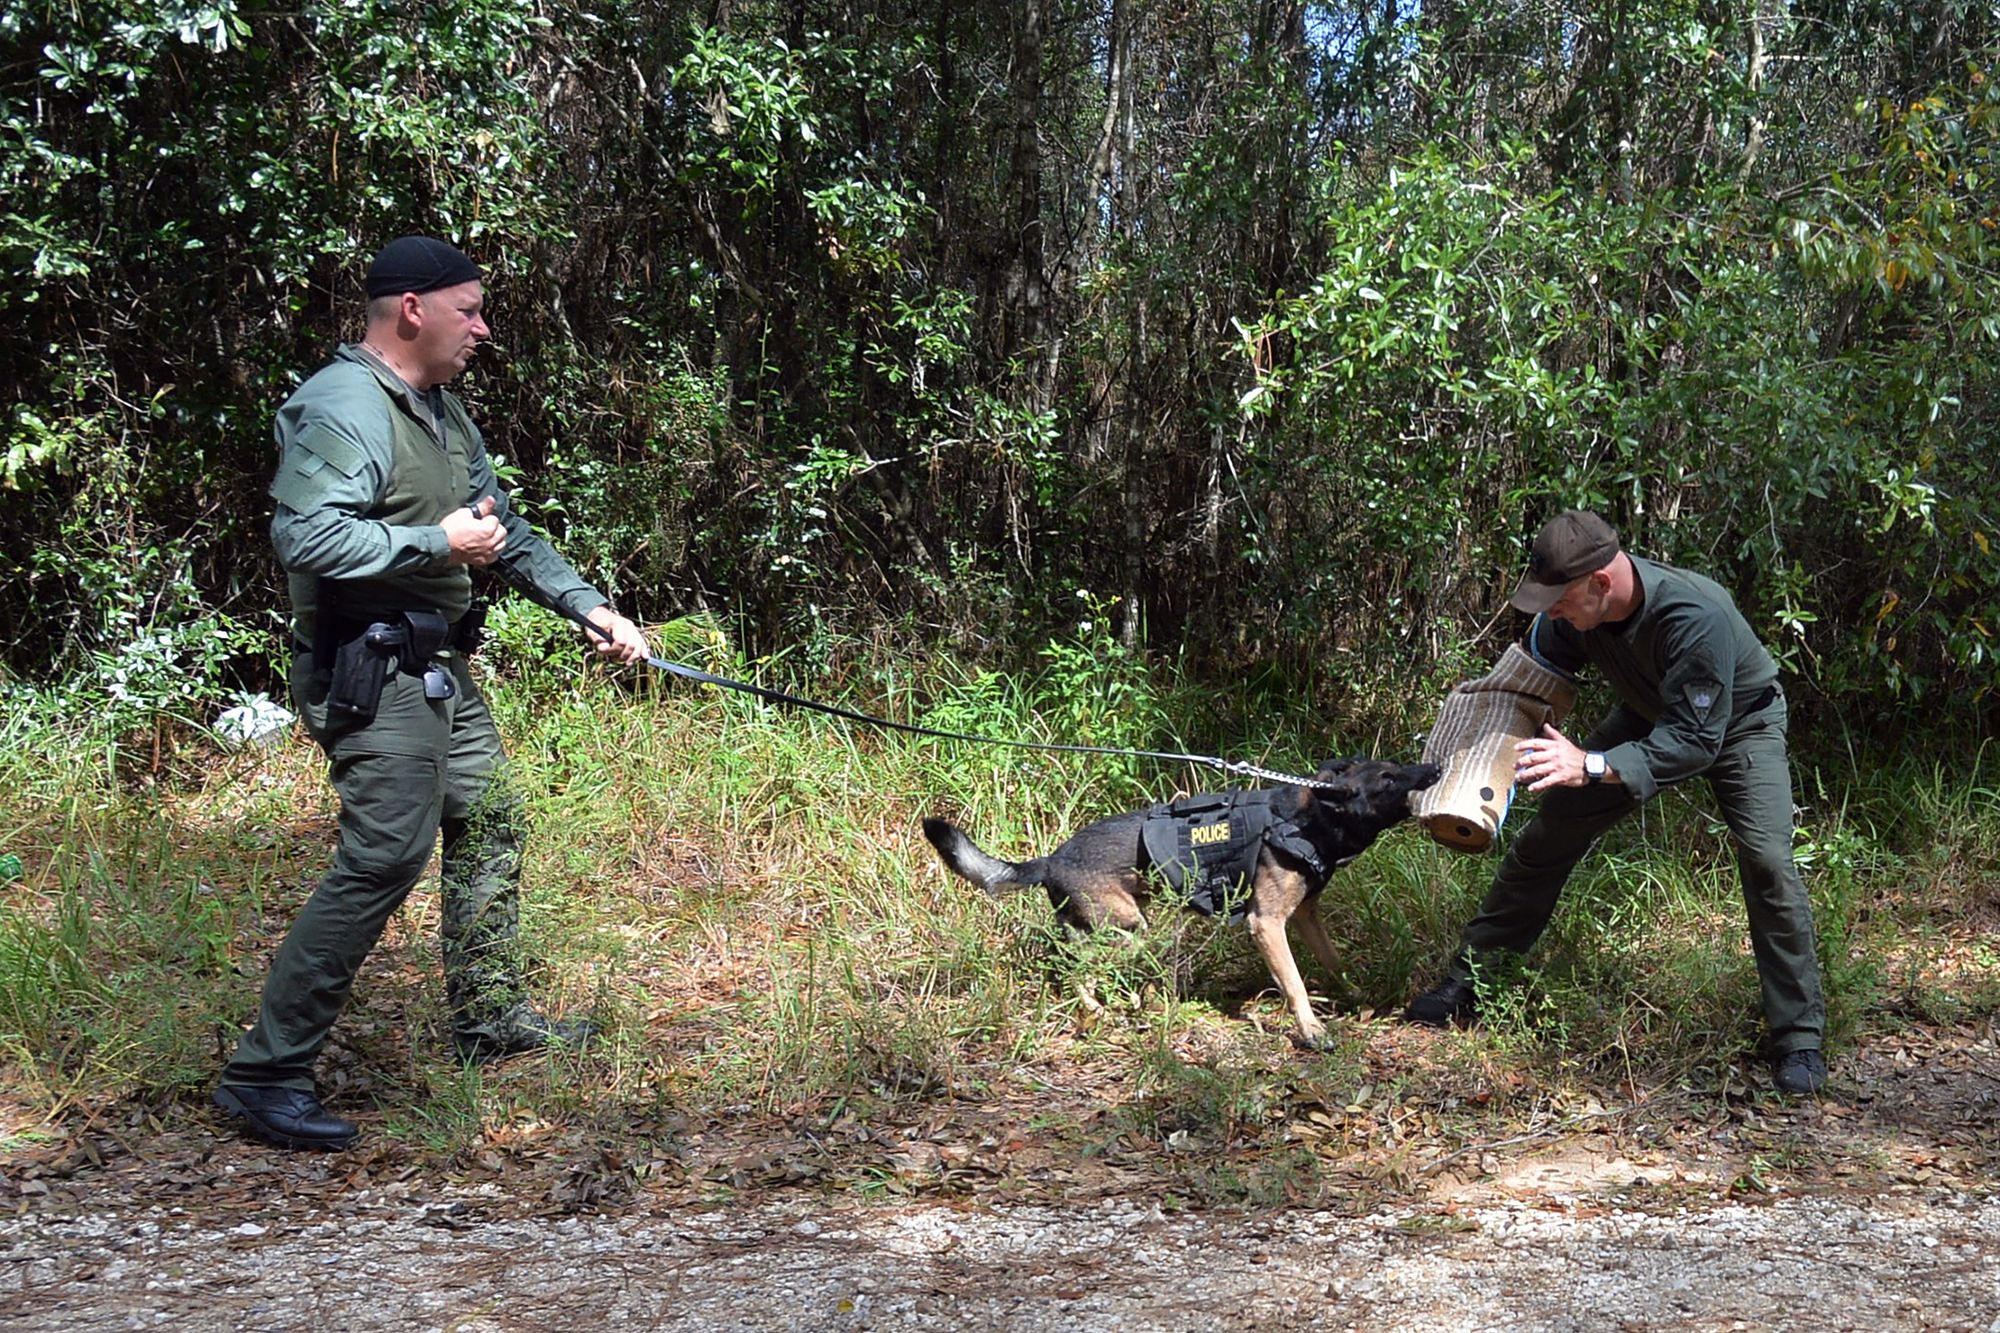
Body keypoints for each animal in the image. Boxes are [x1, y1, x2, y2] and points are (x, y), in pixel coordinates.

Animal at [920, 756, 1440, 1048]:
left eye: (1398, 767)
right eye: (1389, 778)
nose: (1435, 769)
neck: (1309, 820)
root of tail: (1050, 860)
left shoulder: (1305, 916)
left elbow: (1333, 962)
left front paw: (1356, 999)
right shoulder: (1267, 924)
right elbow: (1293, 983)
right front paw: (1311, 1030)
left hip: (1113, 928)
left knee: (1070, 953)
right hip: (1129, 930)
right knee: (1073, 964)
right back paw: (1097, 1010)